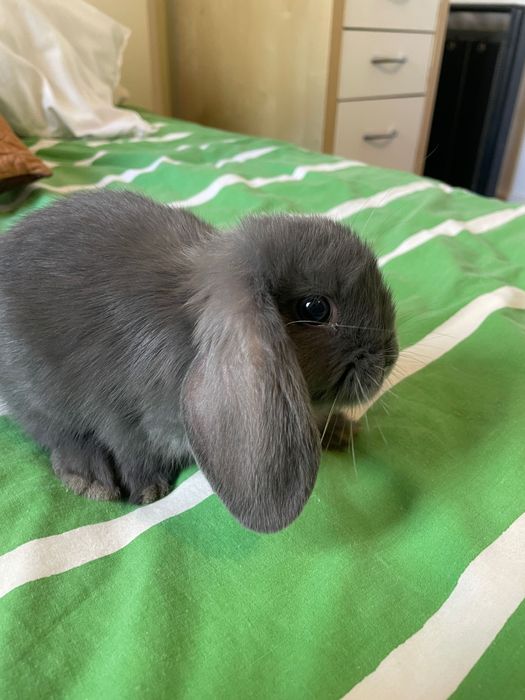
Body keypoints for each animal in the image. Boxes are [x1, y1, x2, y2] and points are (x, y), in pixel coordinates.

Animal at [0, 190, 398, 532]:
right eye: (315, 308)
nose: (389, 359)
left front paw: (342, 428)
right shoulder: (117, 406)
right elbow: (127, 444)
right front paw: (147, 487)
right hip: (33, 390)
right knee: (52, 431)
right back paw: (90, 477)